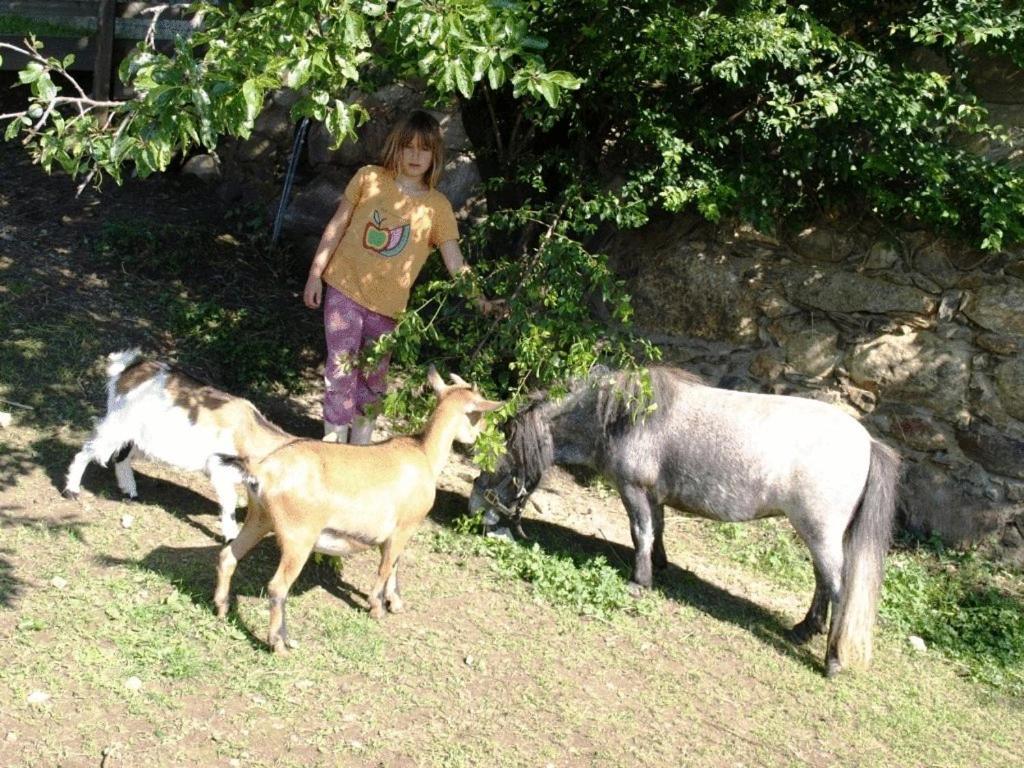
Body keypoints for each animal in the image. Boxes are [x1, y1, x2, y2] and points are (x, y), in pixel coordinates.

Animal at [63, 350, 290, 540]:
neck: (250, 430)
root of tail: (129, 367)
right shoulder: (219, 469)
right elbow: (229, 502)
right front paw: (230, 537)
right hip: (118, 425)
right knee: (86, 452)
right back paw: (71, 491)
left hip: (137, 438)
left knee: (122, 457)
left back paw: (129, 491)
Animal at [216, 368, 503, 655]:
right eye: (480, 414)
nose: (481, 437)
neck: (424, 454)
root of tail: (261, 471)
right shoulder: (404, 528)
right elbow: (386, 568)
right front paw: (377, 607)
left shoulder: (393, 533)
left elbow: (394, 565)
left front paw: (395, 602)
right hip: (299, 537)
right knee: (277, 587)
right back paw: (279, 643)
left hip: (259, 518)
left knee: (228, 555)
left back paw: (221, 608)